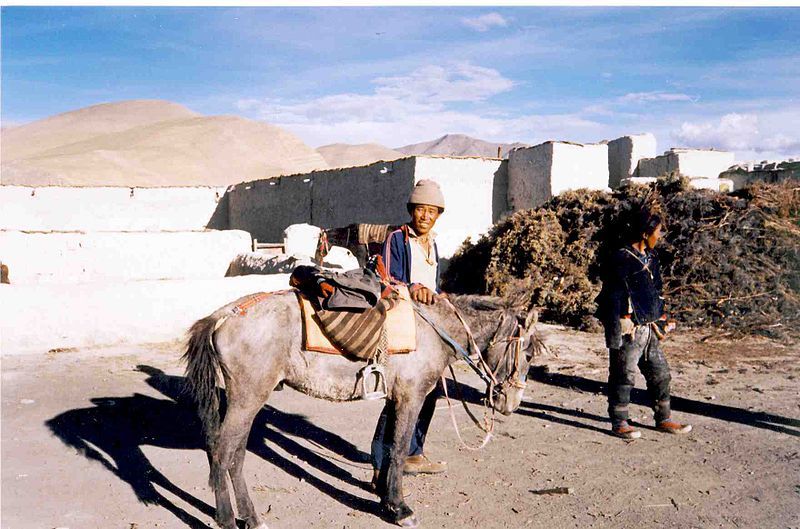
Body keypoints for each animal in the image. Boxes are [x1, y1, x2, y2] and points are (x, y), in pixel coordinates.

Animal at [183, 288, 544, 528]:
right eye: (527, 353)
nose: (511, 404)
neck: (432, 331)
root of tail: (222, 316)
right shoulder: (411, 398)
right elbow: (398, 449)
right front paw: (400, 508)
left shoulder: (394, 399)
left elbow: (386, 445)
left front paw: (384, 496)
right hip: (248, 398)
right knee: (224, 453)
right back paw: (232, 518)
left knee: (229, 454)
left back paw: (245, 517)